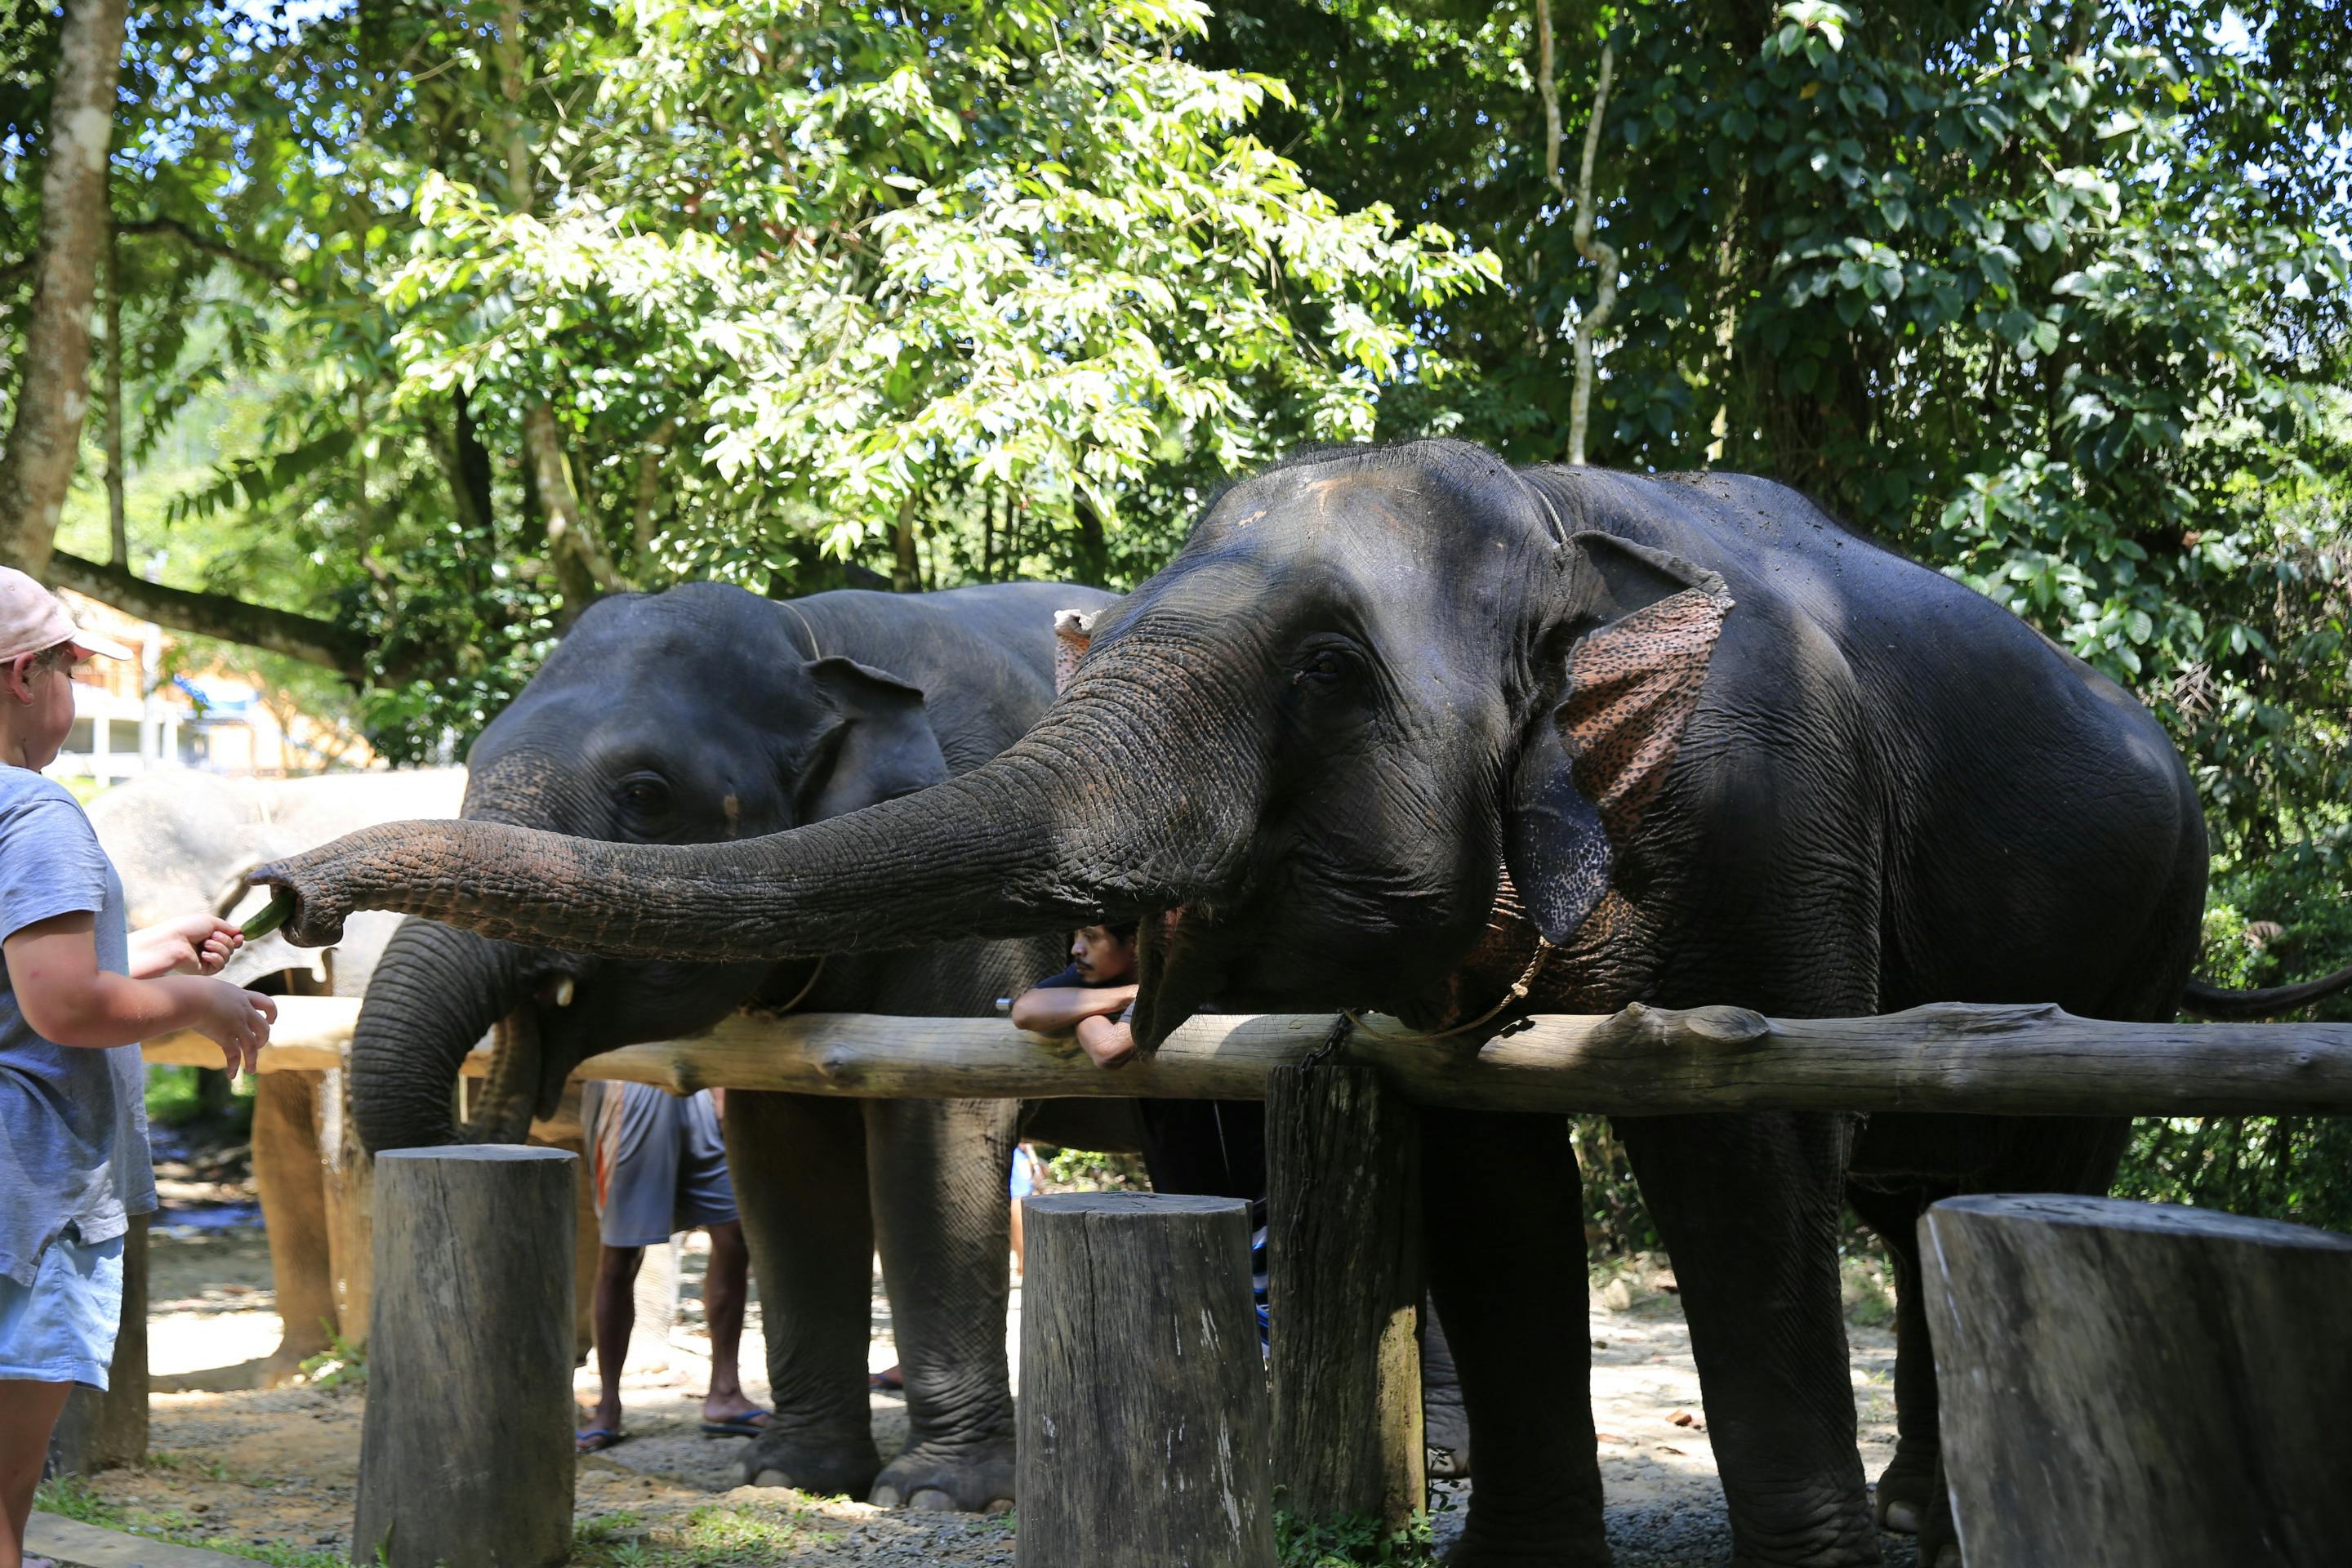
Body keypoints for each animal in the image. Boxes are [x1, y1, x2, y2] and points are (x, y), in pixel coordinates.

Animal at [338, 577, 1114, 1512]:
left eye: (645, 796)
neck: (812, 637)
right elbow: (783, 1159)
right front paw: (791, 1476)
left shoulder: (987, 872)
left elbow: (938, 1134)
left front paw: (935, 1496)